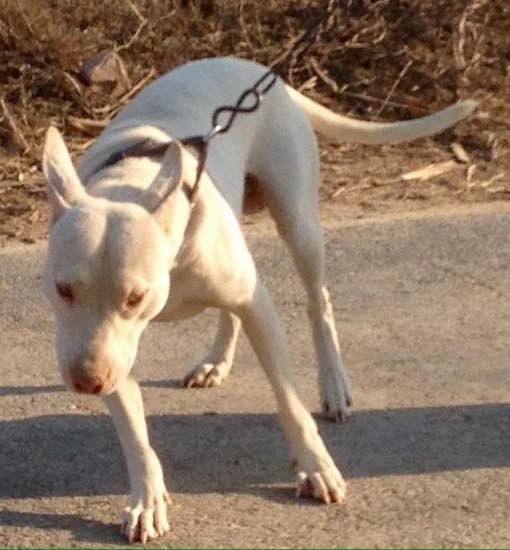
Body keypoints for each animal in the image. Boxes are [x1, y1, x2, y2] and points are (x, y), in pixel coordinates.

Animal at [41, 57, 476, 544]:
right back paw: (215, 361)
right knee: (231, 310)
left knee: (317, 301)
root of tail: (261, 72)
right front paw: (147, 500)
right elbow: (135, 434)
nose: (87, 382)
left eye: (136, 296)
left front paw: (315, 467)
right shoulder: (108, 347)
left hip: (299, 223)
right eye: (63, 290)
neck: (130, 184)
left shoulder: (256, 308)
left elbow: (288, 401)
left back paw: (333, 384)